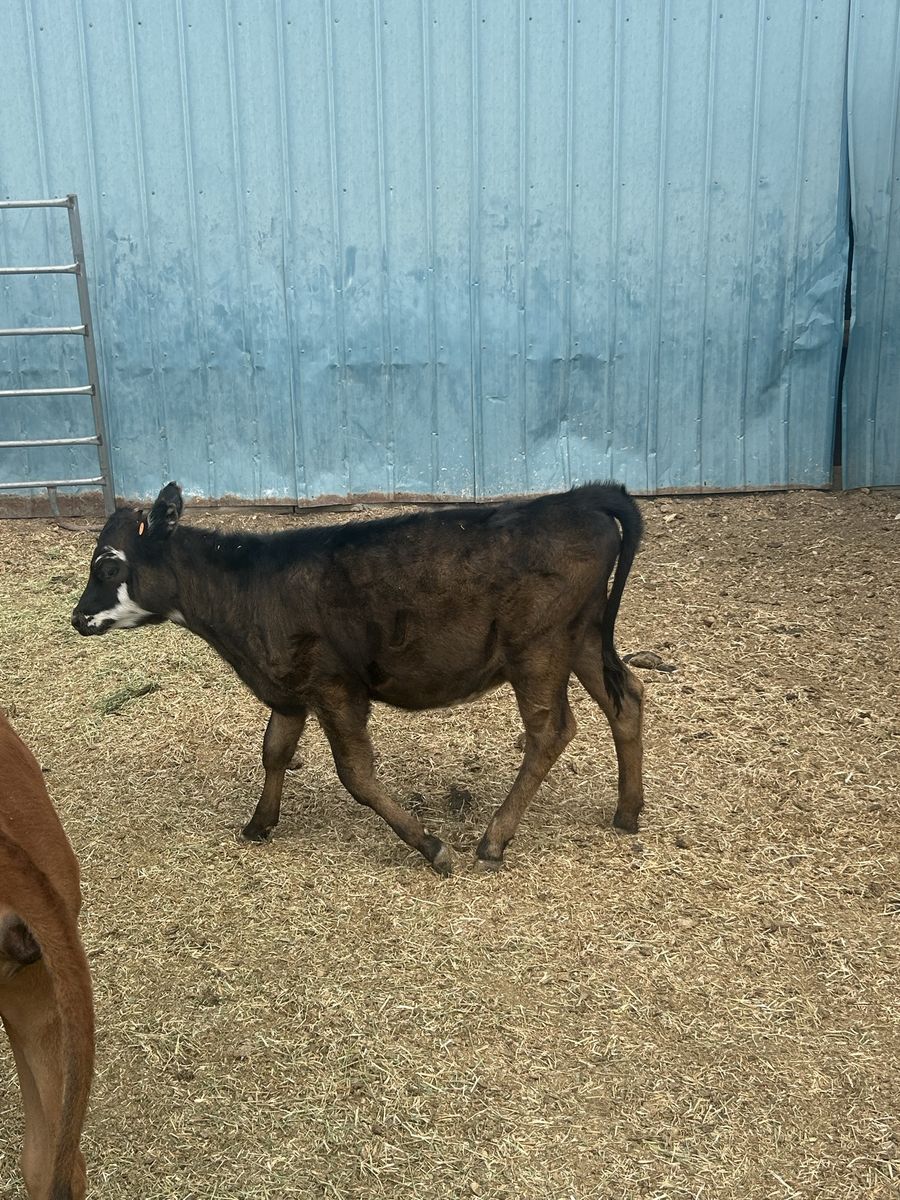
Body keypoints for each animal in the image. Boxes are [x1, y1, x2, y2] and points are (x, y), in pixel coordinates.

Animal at [72, 481, 646, 874]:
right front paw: (259, 823)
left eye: (108, 566)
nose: (77, 618)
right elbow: (274, 750)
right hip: (584, 636)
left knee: (551, 731)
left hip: (539, 648)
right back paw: (627, 811)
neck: (248, 588)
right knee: (629, 699)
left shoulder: (334, 687)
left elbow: (356, 774)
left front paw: (431, 846)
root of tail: (580, 499)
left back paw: (494, 839)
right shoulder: (290, 689)